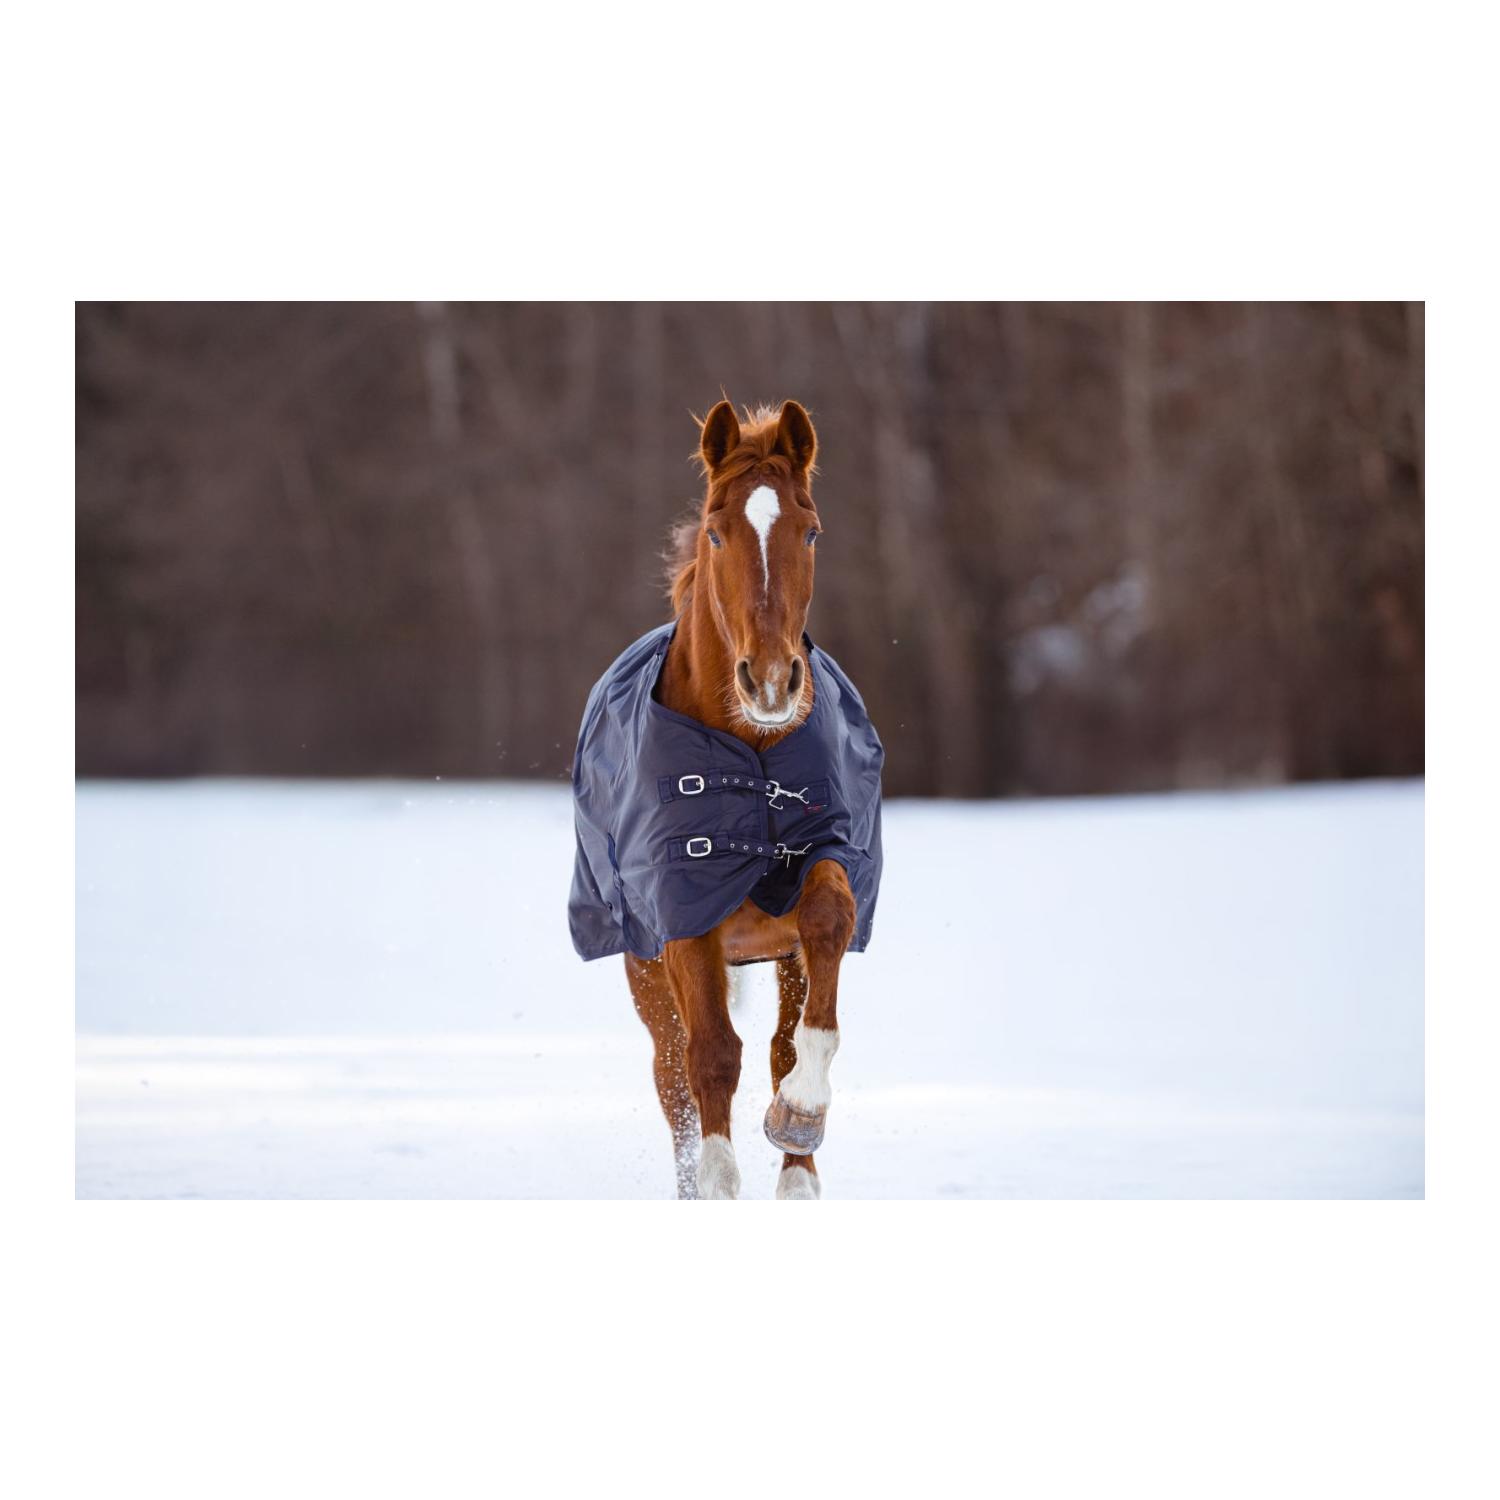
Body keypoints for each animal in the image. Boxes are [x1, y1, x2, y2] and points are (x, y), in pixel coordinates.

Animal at [569, 399, 883, 1199]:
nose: (771, 682)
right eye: (716, 530)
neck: (750, 753)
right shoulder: (683, 907)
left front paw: (801, 1118)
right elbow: (711, 1056)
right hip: (645, 968)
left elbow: (819, 957)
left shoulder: (823, 867)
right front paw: (716, 1180)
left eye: (811, 529)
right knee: (673, 1073)